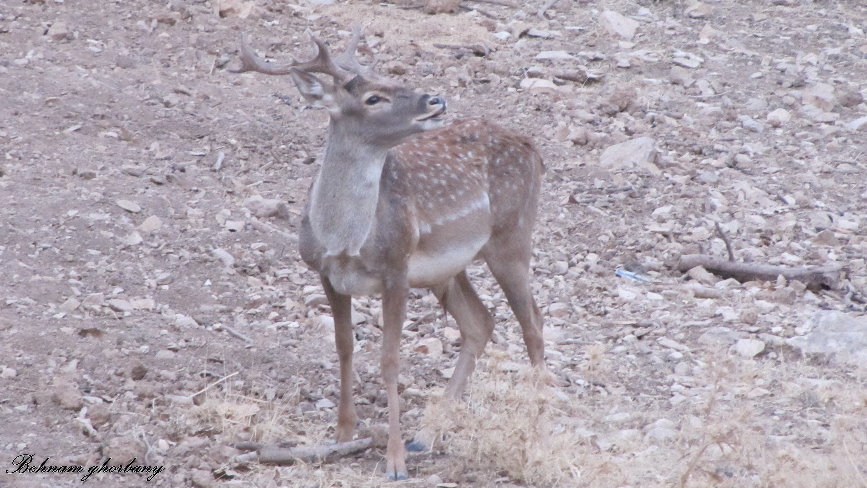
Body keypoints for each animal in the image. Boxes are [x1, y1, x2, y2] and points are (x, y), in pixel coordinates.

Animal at [232, 27, 546, 480]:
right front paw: (344, 433)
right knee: (481, 323)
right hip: (448, 270)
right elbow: (344, 345)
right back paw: (427, 435)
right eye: (373, 98)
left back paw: (538, 426)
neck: (345, 240)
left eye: (397, 82)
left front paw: (394, 461)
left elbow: (390, 359)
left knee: (532, 324)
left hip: (512, 236)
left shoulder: (396, 268)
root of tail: (533, 147)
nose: (435, 100)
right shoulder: (325, 274)